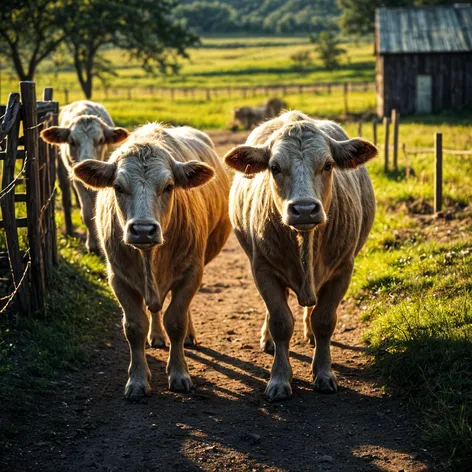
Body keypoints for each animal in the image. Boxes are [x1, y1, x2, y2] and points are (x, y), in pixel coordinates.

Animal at [39, 100, 129, 254]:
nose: (85, 161)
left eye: (100, 140)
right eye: (72, 141)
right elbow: (87, 212)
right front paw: (92, 244)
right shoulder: (78, 180)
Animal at [71, 123, 231, 400]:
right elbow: (135, 327)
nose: (143, 230)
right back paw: (156, 335)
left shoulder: (192, 272)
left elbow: (176, 320)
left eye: (168, 186)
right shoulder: (118, 278)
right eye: (118, 187)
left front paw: (179, 374)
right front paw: (137, 379)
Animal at [222, 111, 376, 402]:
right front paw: (280, 378)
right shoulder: (263, 269)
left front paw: (323, 372)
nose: (304, 209)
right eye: (274, 167)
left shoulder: (343, 270)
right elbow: (280, 321)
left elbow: (324, 320)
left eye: (328, 165)